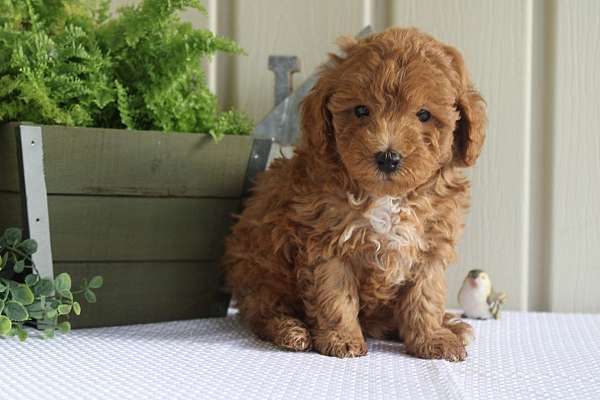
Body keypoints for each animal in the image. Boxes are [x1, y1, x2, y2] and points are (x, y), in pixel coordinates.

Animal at [223, 26, 486, 360]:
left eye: (424, 115)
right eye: (361, 110)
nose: (388, 157)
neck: (388, 197)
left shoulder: (429, 246)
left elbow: (425, 296)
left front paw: (432, 338)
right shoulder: (327, 243)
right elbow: (336, 296)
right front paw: (342, 339)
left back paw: (451, 325)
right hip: (260, 271)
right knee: (261, 310)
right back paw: (291, 330)